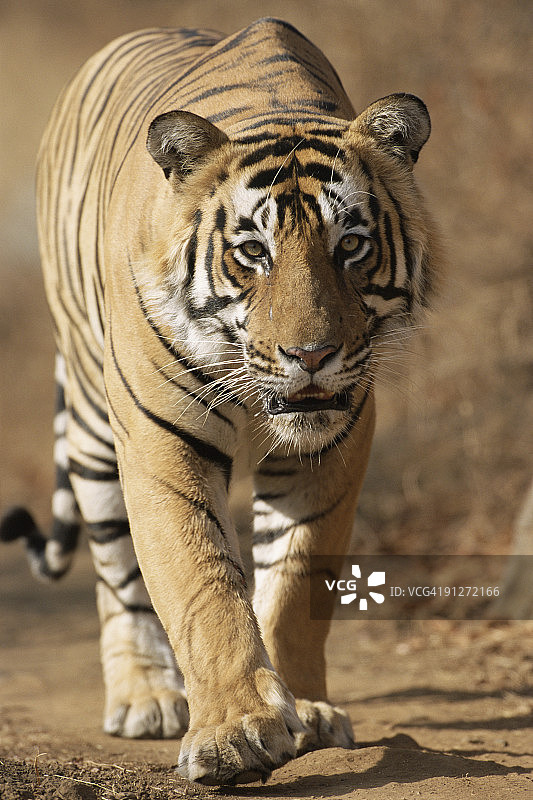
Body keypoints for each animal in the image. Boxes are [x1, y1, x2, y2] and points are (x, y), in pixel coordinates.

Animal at [0, 18, 438, 786]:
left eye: (350, 245)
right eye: (252, 252)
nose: (311, 356)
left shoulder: (335, 445)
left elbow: (293, 584)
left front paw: (307, 714)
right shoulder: (159, 442)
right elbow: (200, 585)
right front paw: (237, 733)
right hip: (90, 419)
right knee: (115, 572)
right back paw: (145, 696)